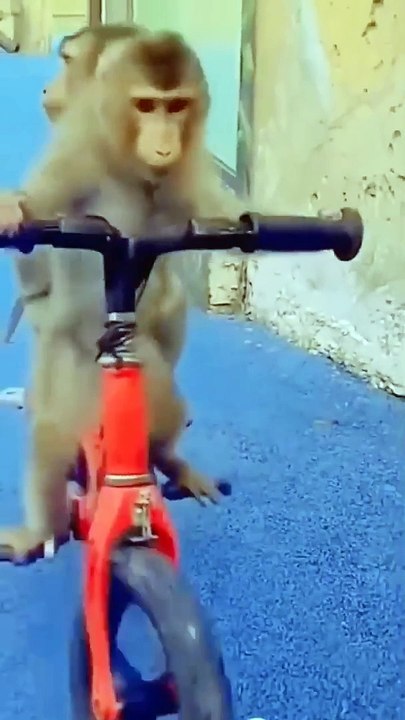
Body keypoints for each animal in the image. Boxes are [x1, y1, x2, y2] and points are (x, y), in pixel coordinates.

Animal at [0, 30, 245, 557]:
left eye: (177, 107)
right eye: (146, 105)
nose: (165, 143)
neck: (135, 172)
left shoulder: (191, 174)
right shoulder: (78, 156)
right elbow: (35, 244)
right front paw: (13, 209)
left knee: (158, 383)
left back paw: (166, 458)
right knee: (52, 435)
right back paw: (43, 532)